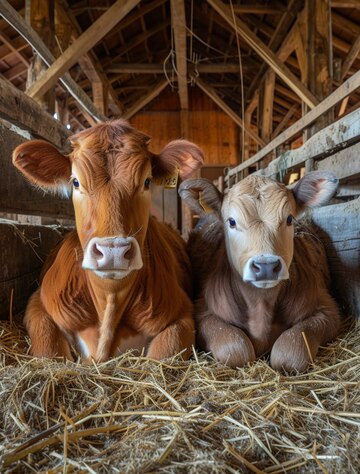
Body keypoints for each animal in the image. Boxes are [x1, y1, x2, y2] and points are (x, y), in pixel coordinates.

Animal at [12, 120, 204, 362]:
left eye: (147, 181)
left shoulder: (183, 314)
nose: (113, 251)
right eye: (76, 182)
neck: (109, 302)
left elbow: (164, 352)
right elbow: (48, 350)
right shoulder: (38, 304)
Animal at [179, 172, 342, 372]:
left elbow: (289, 351)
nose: (266, 266)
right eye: (231, 221)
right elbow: (237, 348)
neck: (260, 304)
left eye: (289, 219)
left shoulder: (328, 310)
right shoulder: (203, 311)